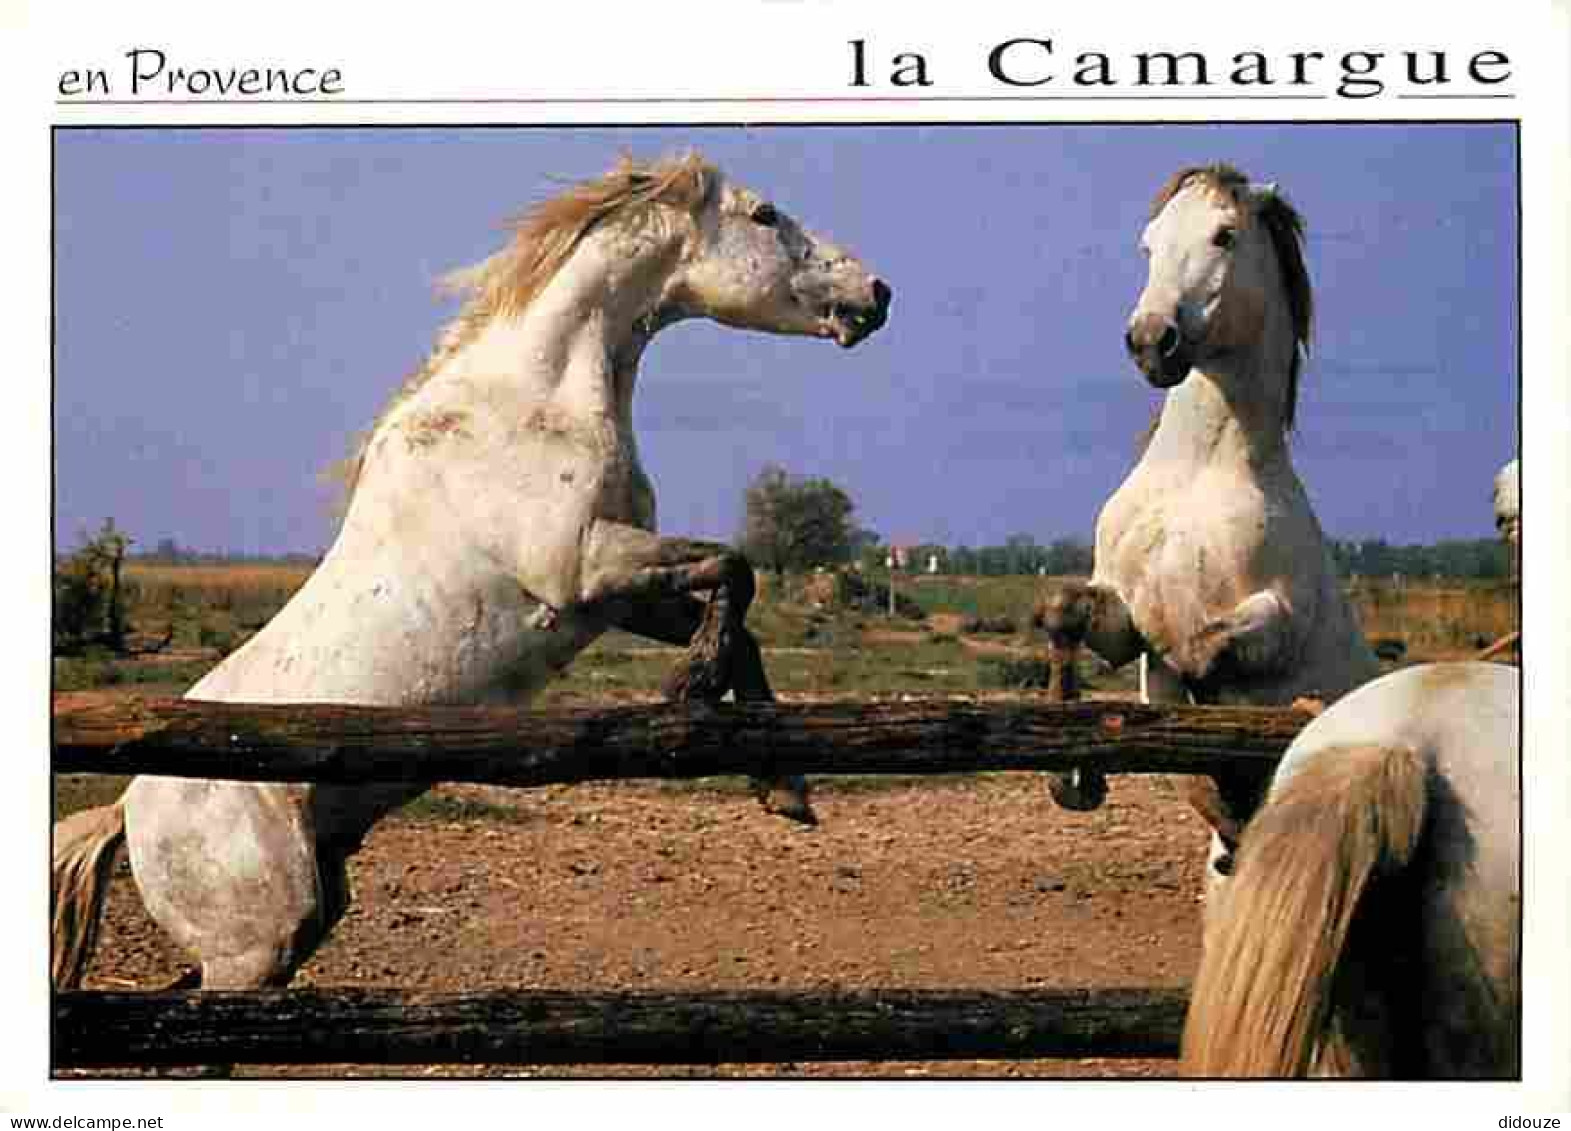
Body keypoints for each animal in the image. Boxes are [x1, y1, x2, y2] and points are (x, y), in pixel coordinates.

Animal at [49, 152, 892, 992]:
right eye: (764, 215)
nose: (877, 294)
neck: (533, 400)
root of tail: (127, 810)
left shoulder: (609, 597)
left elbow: (736, 606)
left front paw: (783, 788)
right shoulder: (583, 565)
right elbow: (736, 566)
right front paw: (689, 691)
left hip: (296, 923)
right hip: (254, 945)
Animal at [1036, 161, 1382, 885]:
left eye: (1224, 235)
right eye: (1148, 243)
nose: (1149, 340)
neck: (1196, 475)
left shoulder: (1278, 618)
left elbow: (1200, 656)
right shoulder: (1125, 616)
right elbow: (1064, 611)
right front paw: (1075, 776)